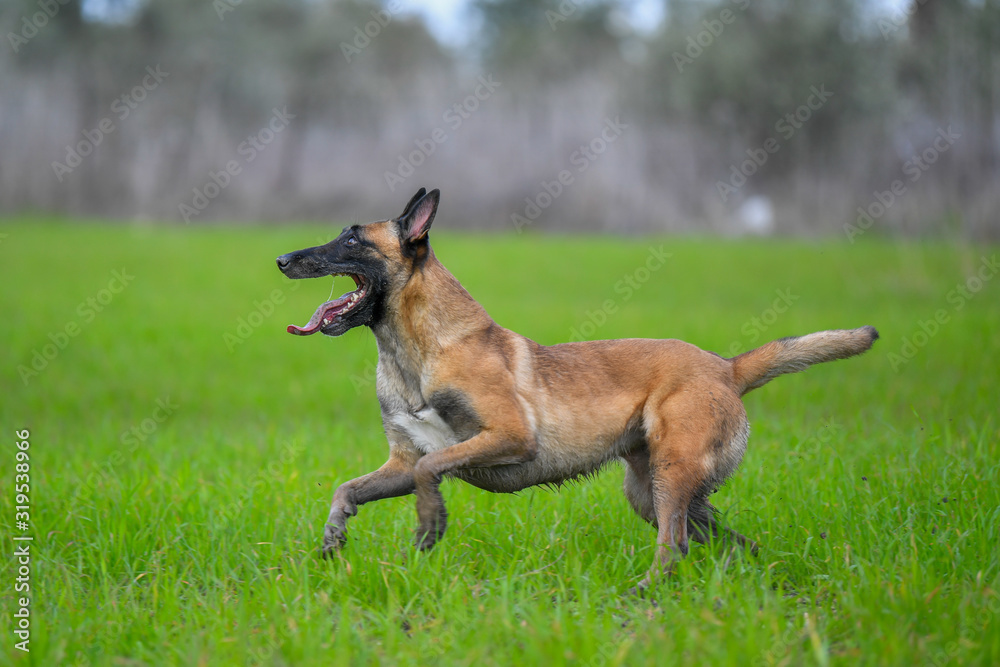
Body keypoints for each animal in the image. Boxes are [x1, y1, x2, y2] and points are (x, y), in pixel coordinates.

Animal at [276, 188, 876, 584]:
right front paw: (334, 536)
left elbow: (432, 471)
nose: (281, 258)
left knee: (674, 546)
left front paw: (430, 523)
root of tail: (725, 367)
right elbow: (348, 489)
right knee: (725, 542)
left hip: (671, 476)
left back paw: (644, 597)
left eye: (352, 238)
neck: (415, 355)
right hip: (652, 491)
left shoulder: (509, 436)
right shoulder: (399, 462)